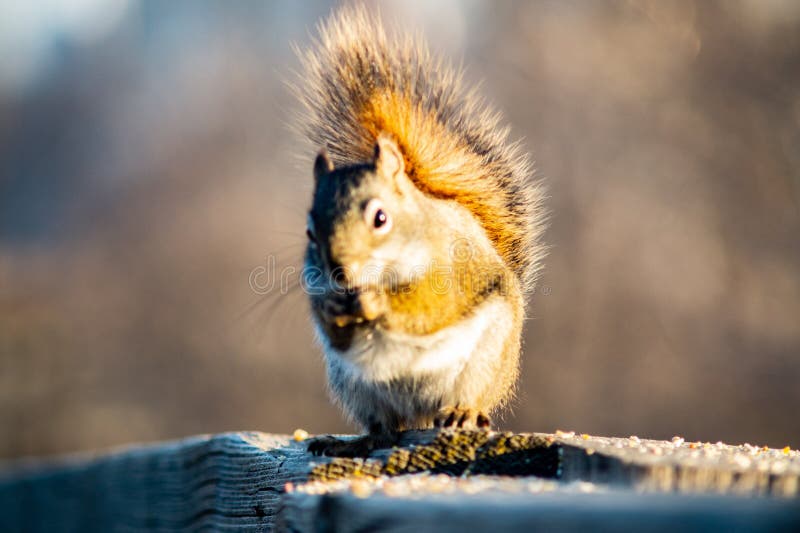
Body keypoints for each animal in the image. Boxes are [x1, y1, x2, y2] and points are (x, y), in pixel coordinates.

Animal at [291, 6, 547, 457]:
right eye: (309, 231)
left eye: (380, 218)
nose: (339, 271)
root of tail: (422, 413)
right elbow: (334, 330)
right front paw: (334, 309)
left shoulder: (450, 269)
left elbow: (429, 307)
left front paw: (379, 303)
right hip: (356, 386)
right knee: (383, 429)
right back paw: (356, 442)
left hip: (485, 363)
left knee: (468, 398)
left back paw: (463, 412)